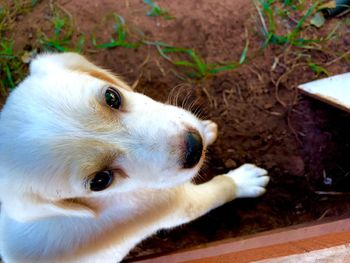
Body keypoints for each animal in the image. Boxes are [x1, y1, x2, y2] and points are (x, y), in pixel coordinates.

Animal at [0, 53, 270, 263]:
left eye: (112, 96)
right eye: (101, 181)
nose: (195, 146)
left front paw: (206, 129)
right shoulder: (180, 205)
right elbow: (220, 189)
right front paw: (244, 181)